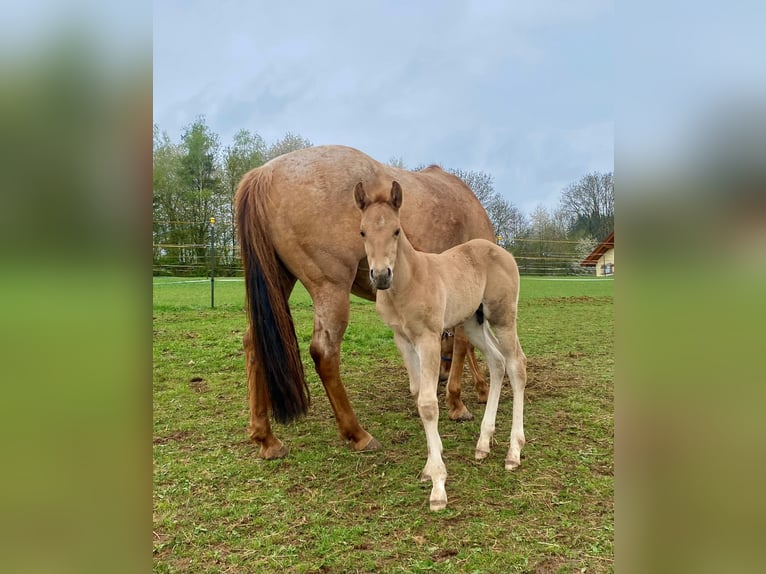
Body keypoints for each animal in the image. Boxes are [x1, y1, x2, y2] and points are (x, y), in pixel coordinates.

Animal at [235, 145, 495, 459]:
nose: (440, 379)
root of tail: (265, 173)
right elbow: (463, 345)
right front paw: (458, 402)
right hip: (331, 289)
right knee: (324, 353)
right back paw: (357, 434)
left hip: (278, 284)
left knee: (253, 343)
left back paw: (266, 438)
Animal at [354, 179, 527, 511]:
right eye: (363, 232)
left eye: (397, 230)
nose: (381, 276)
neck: (408, 282)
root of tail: (503, 251)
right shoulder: (403, 340)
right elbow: (416, 393)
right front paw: (429, 468)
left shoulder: (429, 338)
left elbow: (428, 403)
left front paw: (438, 484)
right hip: (473, 322)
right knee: (498, 362)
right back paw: (483, 444)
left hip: (502, 317)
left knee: (517, 365)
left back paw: (514, 452)